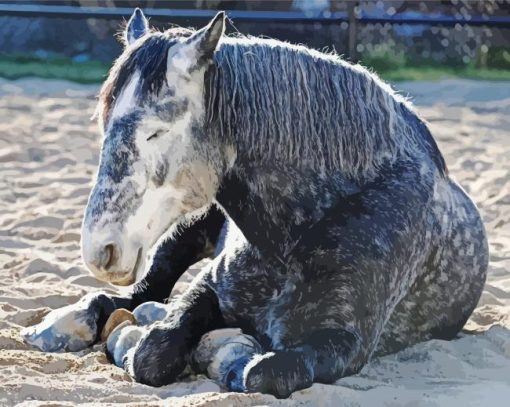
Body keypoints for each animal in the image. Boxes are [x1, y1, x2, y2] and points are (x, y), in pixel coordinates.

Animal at [21, 8, 488, 398]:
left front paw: (228, 352)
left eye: (155, 131)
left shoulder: (343, 342)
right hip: (185, 234)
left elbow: (263, 372)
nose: (100, 250)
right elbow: (154, 351)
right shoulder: (210, 288)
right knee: (138, 293)